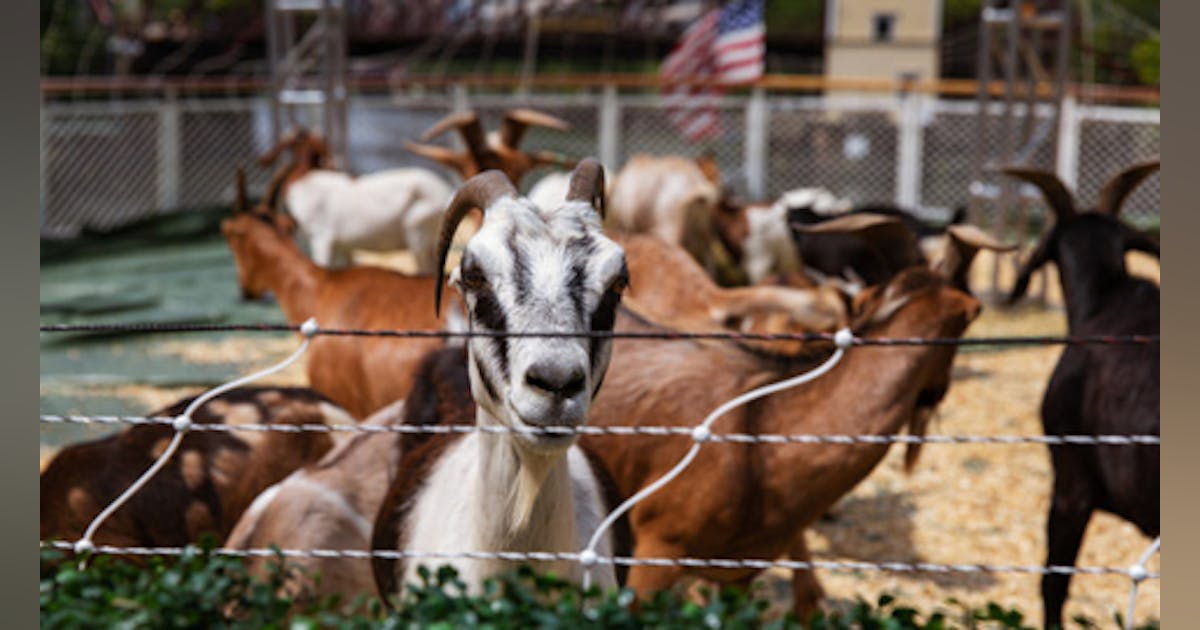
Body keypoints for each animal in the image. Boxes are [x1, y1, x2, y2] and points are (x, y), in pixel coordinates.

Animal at [259, 128, 454, 271]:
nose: (264, 159)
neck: (305, 180)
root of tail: (446, 194)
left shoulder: (321, 239)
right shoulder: (344, 247)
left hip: (418, 238)